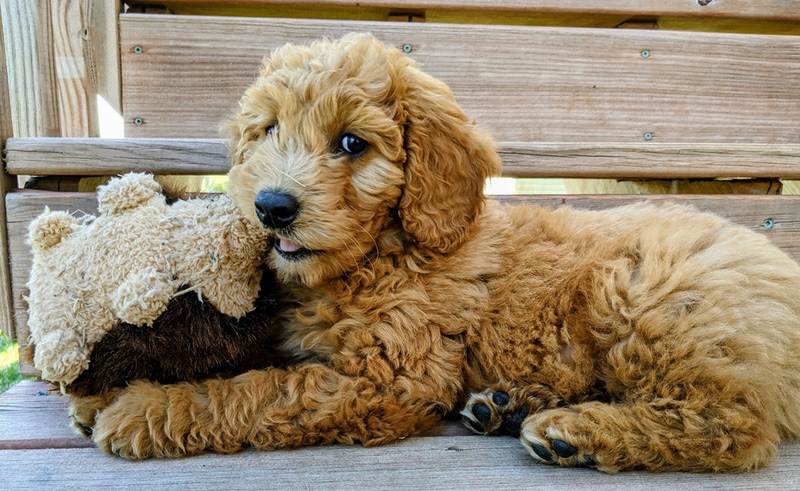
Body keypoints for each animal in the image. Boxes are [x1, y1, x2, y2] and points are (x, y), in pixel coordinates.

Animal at [87, 33, 800, 472]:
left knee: (730, 425)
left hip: (644, 296)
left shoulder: (390, 378)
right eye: (268, 131)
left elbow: (258, 390)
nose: (272, 207)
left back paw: (573, 433)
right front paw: (105, 393)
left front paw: (144, 409)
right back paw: (506, 407)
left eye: (352, 144)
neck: (381, 253)